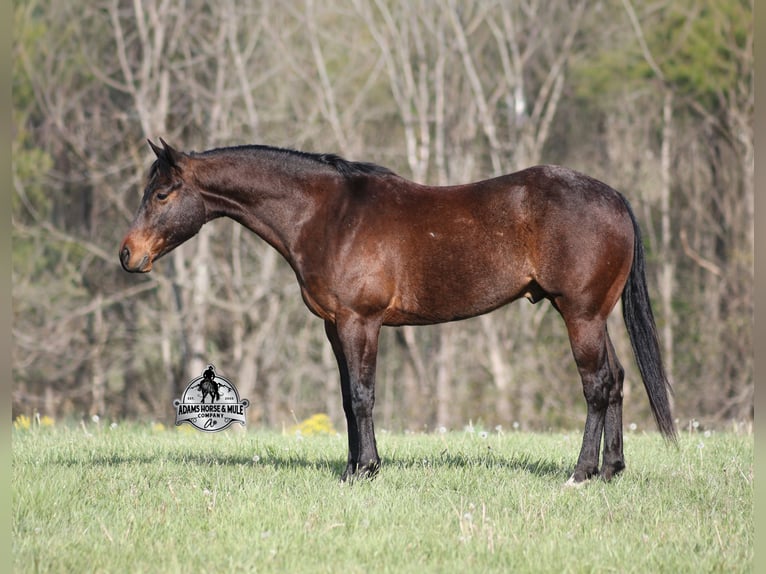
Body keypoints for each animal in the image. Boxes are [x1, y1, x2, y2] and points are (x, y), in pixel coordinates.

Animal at [120, 139, 676, 484]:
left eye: (162, 193)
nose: (128, 255)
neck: (329, 215)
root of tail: (614, 197)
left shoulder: (360, 322)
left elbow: (363, 396)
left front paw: (365, 471)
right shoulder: (334, 327)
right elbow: (347, 399)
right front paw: (353, 468)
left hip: (580, 315)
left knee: (597, 386)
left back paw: (581, 474)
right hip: (594, 316)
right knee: (616, 379)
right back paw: (611, 470)